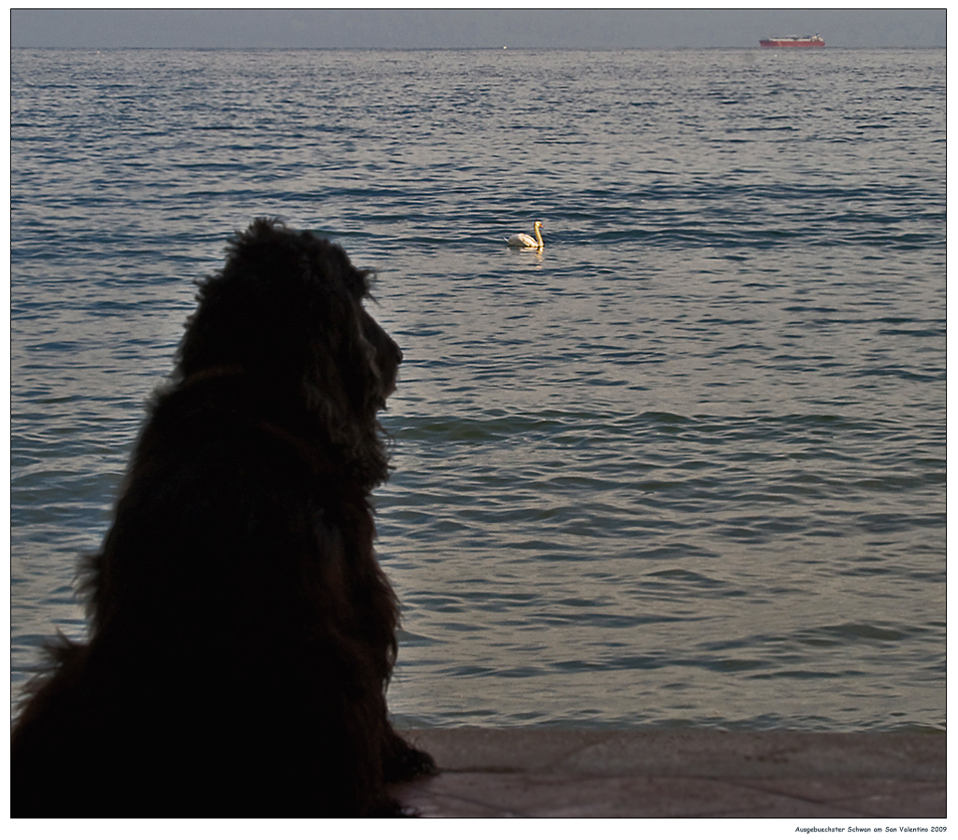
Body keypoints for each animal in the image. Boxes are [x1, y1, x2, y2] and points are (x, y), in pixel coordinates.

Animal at [10, 220, 438, 816]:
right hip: (327, 666)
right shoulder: (360, 583)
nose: (397, 354)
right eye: (356, 295)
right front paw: (403, 758)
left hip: (69, 675)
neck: (253, 381)